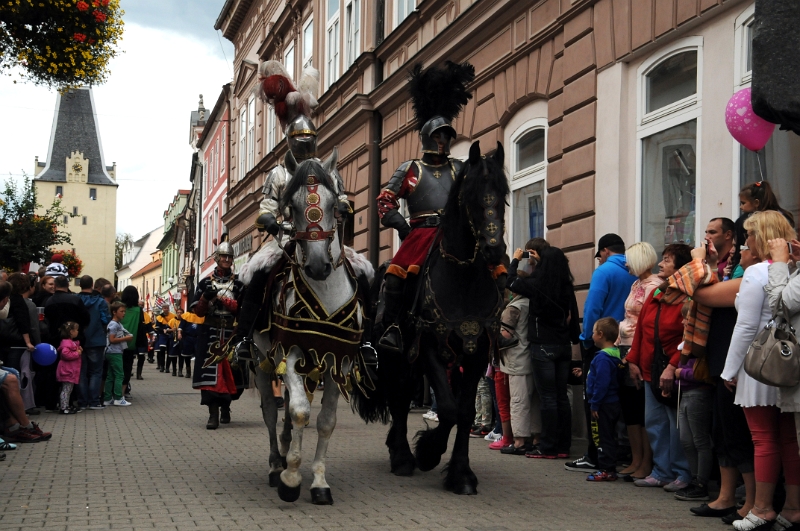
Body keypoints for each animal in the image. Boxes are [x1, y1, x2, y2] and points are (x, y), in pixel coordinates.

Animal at [247, 151, 376, 508]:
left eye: (333, 204)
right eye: (291, 207)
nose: (318, 266)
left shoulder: (337, 363)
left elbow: (325, 421)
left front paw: (318, 482)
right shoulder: (290, 356)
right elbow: (301, 412)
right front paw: (290, 479)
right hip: (262, 362)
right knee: (270, 410)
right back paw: (276, 465)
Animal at [354, 140, 510, 494]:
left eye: (504, 193)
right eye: (471, 194)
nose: (495, 250)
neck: (464, 278)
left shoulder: (477, 352)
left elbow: (464, 412)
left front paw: (461, 474)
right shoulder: (429, 347)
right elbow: (449, 409)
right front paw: (428, 451)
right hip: (396, 354)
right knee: (398, 398)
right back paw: (402, 457)